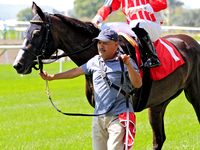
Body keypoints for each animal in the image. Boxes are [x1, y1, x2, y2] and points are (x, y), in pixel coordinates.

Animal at [12, 2, 200, 150]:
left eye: (36, 34)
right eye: (25, 32)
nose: (17, 64)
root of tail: (192, 41)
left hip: (194, 94)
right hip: (159, 103)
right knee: (159, 139)